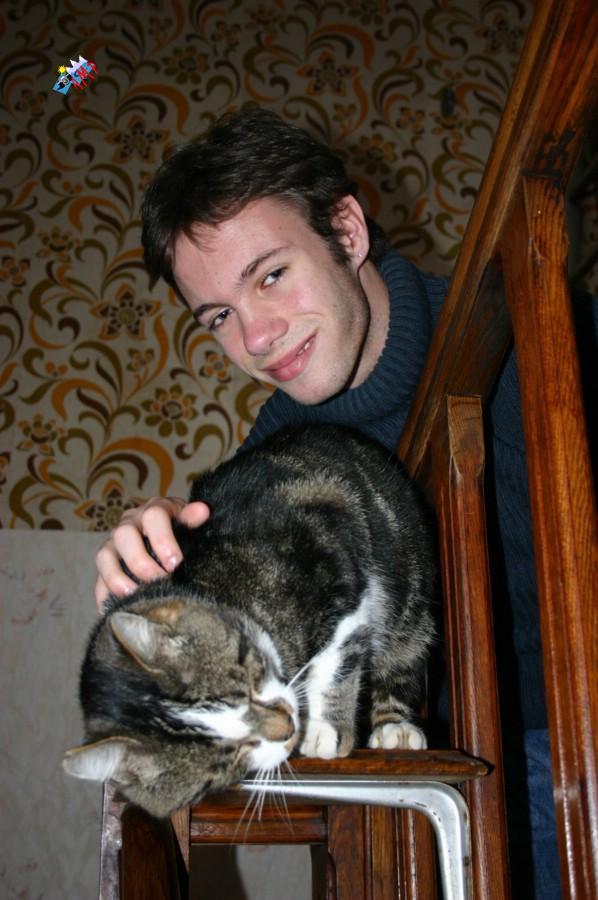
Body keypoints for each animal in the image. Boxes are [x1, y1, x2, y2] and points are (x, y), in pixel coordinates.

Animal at [63, 424, 436, 819]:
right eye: (224, 762)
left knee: (404, 653)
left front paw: (323, 728)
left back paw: (395, 726)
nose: (286, 725)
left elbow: (336, 658)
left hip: (410, 590)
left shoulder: (332, 557)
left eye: (246, 678)